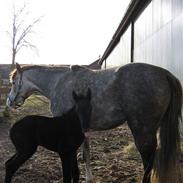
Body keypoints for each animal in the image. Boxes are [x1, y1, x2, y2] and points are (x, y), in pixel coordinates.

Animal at [6, 63, 182, 183]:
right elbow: (86, 152)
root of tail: (164, 74)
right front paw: (88, 177)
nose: (9, 102)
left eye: (13, 82)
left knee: (148, 159)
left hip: (142, 130)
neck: (58, 82)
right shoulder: (83, 130)